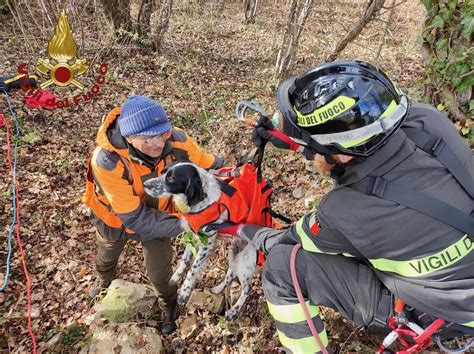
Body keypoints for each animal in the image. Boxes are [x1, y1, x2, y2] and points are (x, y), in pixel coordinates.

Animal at [144, 163, 260, 320]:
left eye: (171, 178)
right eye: (163, 171)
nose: (145, 184)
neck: (201, 201)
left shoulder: (207, 243)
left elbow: (193, 268)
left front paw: (185, 291)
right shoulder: (192, 236)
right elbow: (185, 260)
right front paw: (176, 276)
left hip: (245, 263)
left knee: (247, 289)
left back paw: (234, 311)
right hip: (234, 253)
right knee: (229, 276)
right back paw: (216, 289)